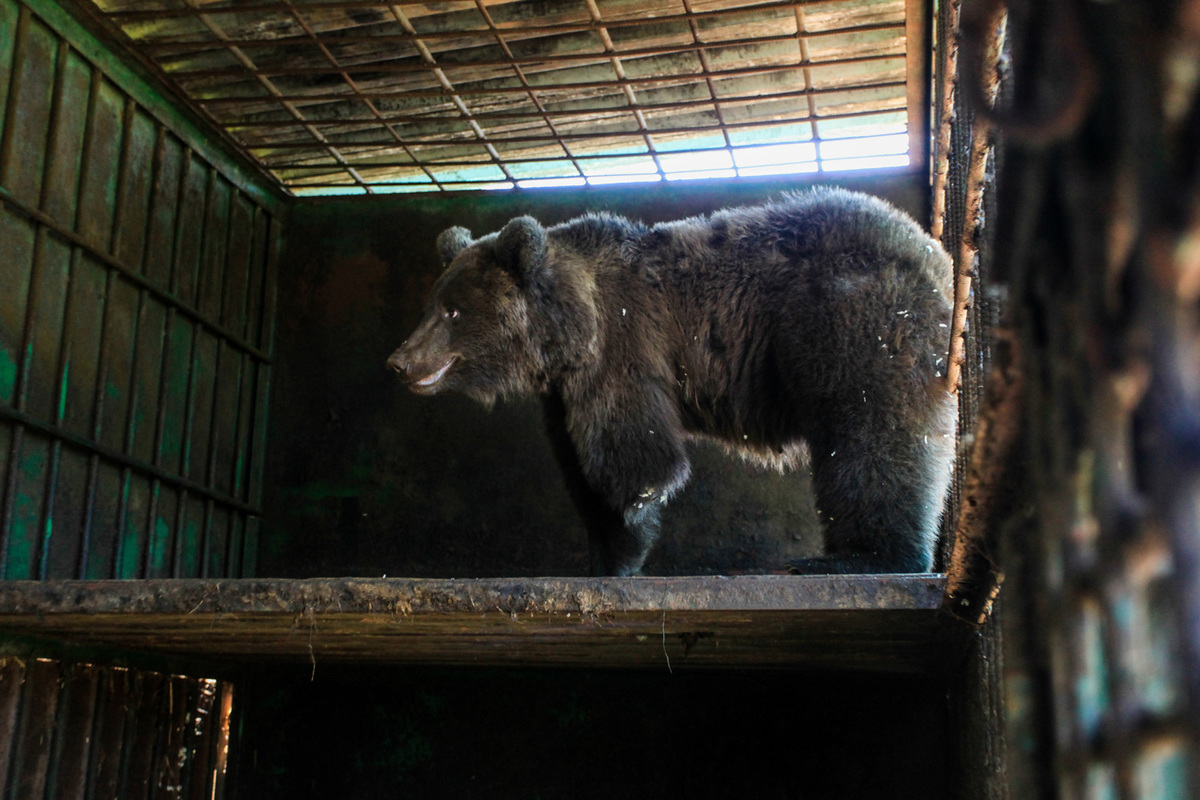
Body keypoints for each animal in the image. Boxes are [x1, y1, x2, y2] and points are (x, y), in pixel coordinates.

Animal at [386, 188, 955, 575]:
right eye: (431, 304)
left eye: (453, 311)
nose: (399, 361)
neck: (568, 333)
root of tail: (934, 254)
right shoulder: (565, 392)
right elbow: (580, 467)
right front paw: (601, 554)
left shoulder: (624, 349)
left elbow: (633, 459)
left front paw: (622, 549)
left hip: (856, 320)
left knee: (873, 436)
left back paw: (858, 557)